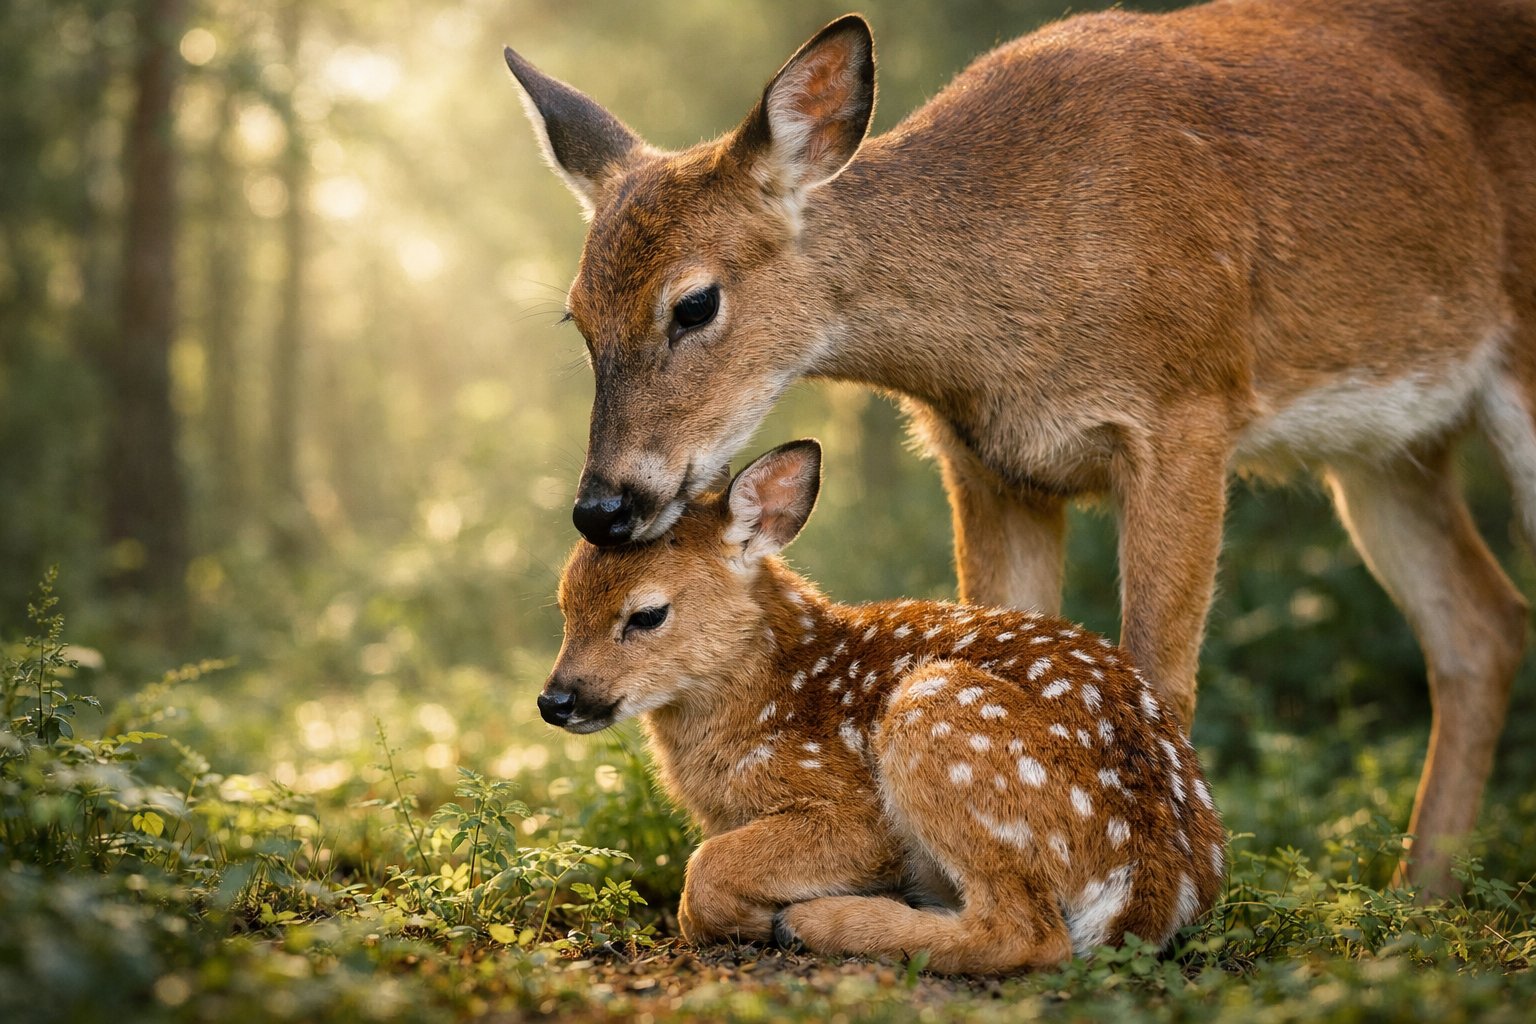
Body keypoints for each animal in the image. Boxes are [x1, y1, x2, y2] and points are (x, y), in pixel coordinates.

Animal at [503, 0, 1536, 896]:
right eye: (577, 316)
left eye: (695, 303)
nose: (603, 505)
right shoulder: (987, 462)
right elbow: (1009, 633)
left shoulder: (1189, 411)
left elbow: (1159, 677)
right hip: (1384, 450)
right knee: (1480, 624)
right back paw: (1417, 899)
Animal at [539, 439, 1225, 973]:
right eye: (565, 604)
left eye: (648, 614)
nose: (555, 700)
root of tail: (1157, 888)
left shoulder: (854, 810)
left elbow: (704, 873)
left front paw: (757, 920)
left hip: (939, 719)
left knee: (1028, 935)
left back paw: (817, 922)